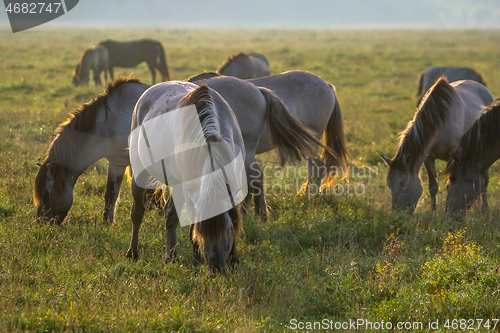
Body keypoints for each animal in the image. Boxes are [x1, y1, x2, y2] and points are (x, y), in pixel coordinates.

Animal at [34, 77, 149, 224]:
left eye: (46, 194)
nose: (40, 222)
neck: (110, 120)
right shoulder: (116, 162)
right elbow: (111, 194)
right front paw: (107, 223)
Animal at [126, 81, 245, 272]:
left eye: (227, 230)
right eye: (202, 233)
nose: (216, 268)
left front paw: (234, 260)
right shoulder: (188, 188)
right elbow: (188, 222)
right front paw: (193, 261)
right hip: (141, 174)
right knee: (139, 212)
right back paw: (137, 254)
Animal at [380, 77, 494, 211]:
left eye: (403, 184)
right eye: (389, 184)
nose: (398, 212)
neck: (441, 122)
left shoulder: (454, 158)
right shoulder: (428, 157)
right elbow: (433, 186)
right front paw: (433, 211)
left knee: (485, 181)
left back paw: (485, 208)